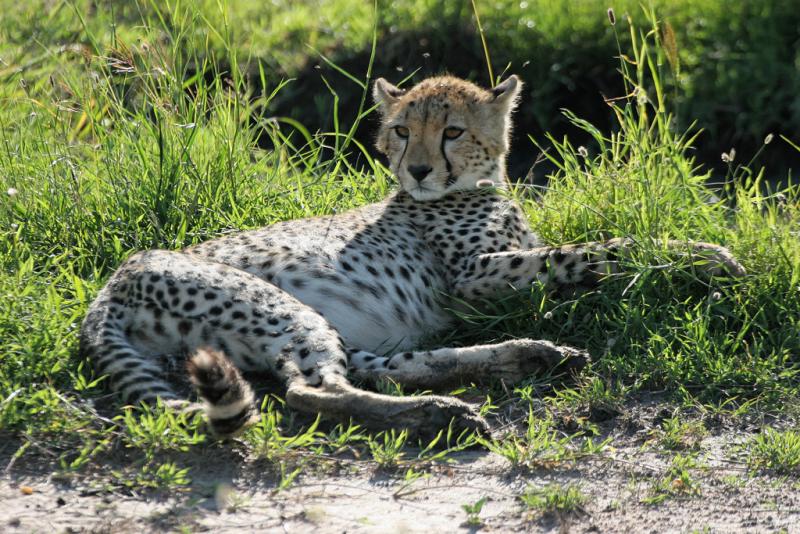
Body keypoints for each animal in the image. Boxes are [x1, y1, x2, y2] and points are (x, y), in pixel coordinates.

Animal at [79, 75, 744, 438]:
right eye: (401, 130)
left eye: (452, 131)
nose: (419, 170)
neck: (473, 186)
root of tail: (112, 281)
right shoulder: (473, 278)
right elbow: (594, 250)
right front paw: (703, 255)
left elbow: (586, 244)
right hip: (277, 308)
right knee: (310, 393)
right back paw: (440, 416)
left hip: (306, 325)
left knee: (380, 366)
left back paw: (525, 357)